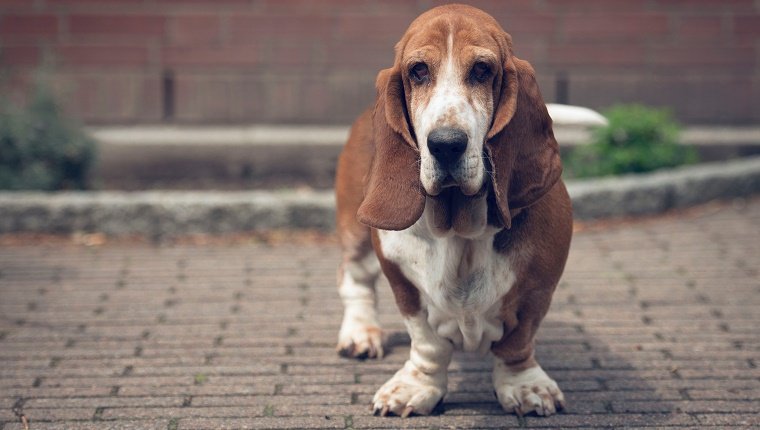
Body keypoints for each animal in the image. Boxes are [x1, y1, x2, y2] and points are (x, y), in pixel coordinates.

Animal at [332, 3, 568, 418]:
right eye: (418, 70)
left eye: (482, 70)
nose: (445, 144)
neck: (461, 229)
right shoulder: (402, 282)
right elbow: (427, 342)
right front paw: (415, 388)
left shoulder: (538, 285)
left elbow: (518, 342)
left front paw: (526, 386)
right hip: (356, 233)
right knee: (355, 279)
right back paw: (360, 333)